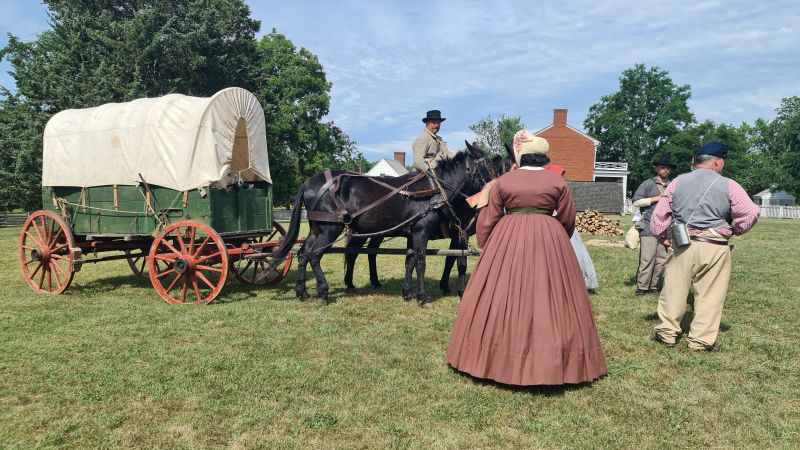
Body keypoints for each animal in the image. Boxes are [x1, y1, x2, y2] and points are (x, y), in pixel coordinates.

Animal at [270, 142, 494, 308]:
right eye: (490, 166)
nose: (495, 186)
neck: (434, 190)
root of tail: (308, 183)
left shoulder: (413, 234)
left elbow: (410, 261)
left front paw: (408, 293)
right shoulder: (422, 232)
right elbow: (422, 263)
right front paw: (423, 297)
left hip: (317, 230)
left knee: (303, 253)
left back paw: (302, 292)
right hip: (330, 230)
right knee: (314, 255)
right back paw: (323, 291)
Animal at [340, 146, 516, 298]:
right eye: (488, 165)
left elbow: (444, 259)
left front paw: (441, 286)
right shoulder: (460, 234)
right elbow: (459, 262)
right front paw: (460, 291)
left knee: (369, 252)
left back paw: (371, 282)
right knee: (354, 253)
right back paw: (350, 283)